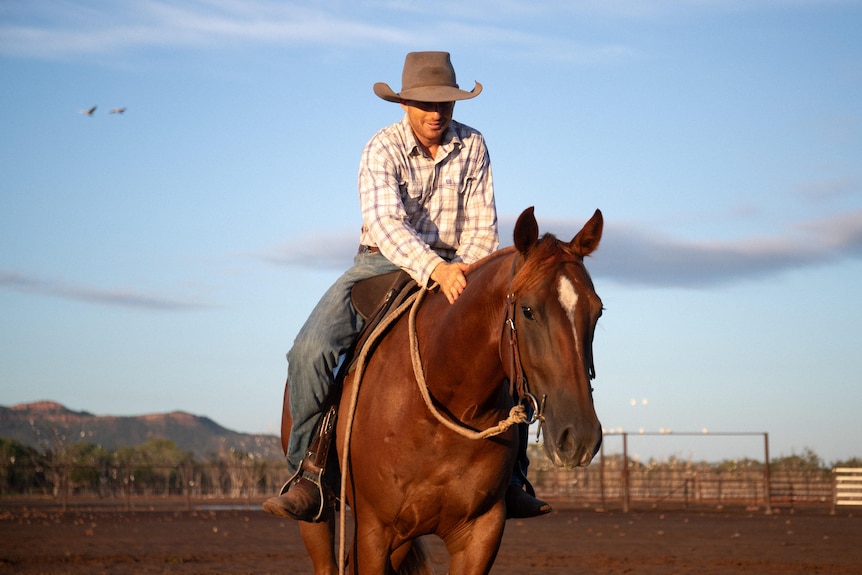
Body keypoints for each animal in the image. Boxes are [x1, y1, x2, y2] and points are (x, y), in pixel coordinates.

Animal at [280, 208, 604, 575]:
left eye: (597, 311)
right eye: (528, 310)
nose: (580, 437)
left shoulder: (480, 534)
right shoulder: (373, 532)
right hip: (319, 520)